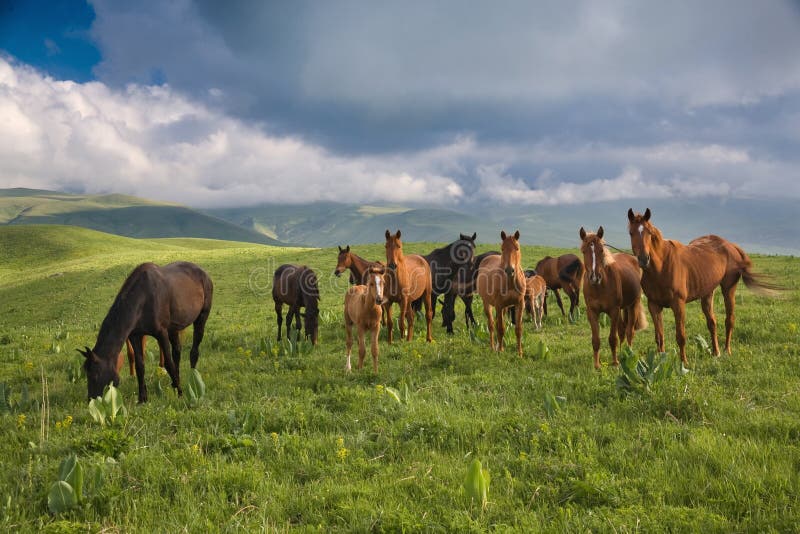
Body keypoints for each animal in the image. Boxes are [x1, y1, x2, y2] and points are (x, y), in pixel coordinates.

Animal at [79, 262, 214, 404]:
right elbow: (140, 366)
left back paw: (192, 377)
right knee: (177, 352)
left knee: (194, 350)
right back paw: (175, 382)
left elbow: (168, 363)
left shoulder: (161, 334)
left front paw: (180, 393)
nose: (91, 400)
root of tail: (204, 273)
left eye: (95, 375)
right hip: (173, 328)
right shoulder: (135, 336)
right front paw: (142, 398)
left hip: (201, 317)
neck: (143, 298)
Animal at [478, 231, 528, 360]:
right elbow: (500, 328)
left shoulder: (519, 304)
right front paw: (500, 351)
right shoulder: (499, 305)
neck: (510, 282)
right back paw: (493, 347)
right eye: (502, 248)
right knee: (491, 324)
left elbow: (518, 329)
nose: (510, 270)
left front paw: (520, 353)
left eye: (517, 248)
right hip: (487, 303)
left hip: (505, 308)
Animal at [580, 225, 648, 368]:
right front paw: (596, 365)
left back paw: (628, 354)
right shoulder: (592, 312)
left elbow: (612, 338)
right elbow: (596, 340)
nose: (594, 277)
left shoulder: (613, 311)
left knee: (629, 332)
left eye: (601, 250)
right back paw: (622, 353)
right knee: (622, 330)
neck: (599, 287)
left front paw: (615, 362)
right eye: (583, 251)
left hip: (633, 305)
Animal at [628, 207, 780, 366]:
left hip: (728, 289)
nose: (644, 259)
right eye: (631, 232)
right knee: (712, 323)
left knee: (729, 320)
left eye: (649, 233)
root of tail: (730, 245)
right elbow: (659, 336)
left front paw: (684, 363)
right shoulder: (654, 305)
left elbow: (681, 336)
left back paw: (727, 351)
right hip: (707, 293)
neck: (661, 267)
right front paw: (660, 361)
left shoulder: (678, 304)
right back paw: (716, 352)